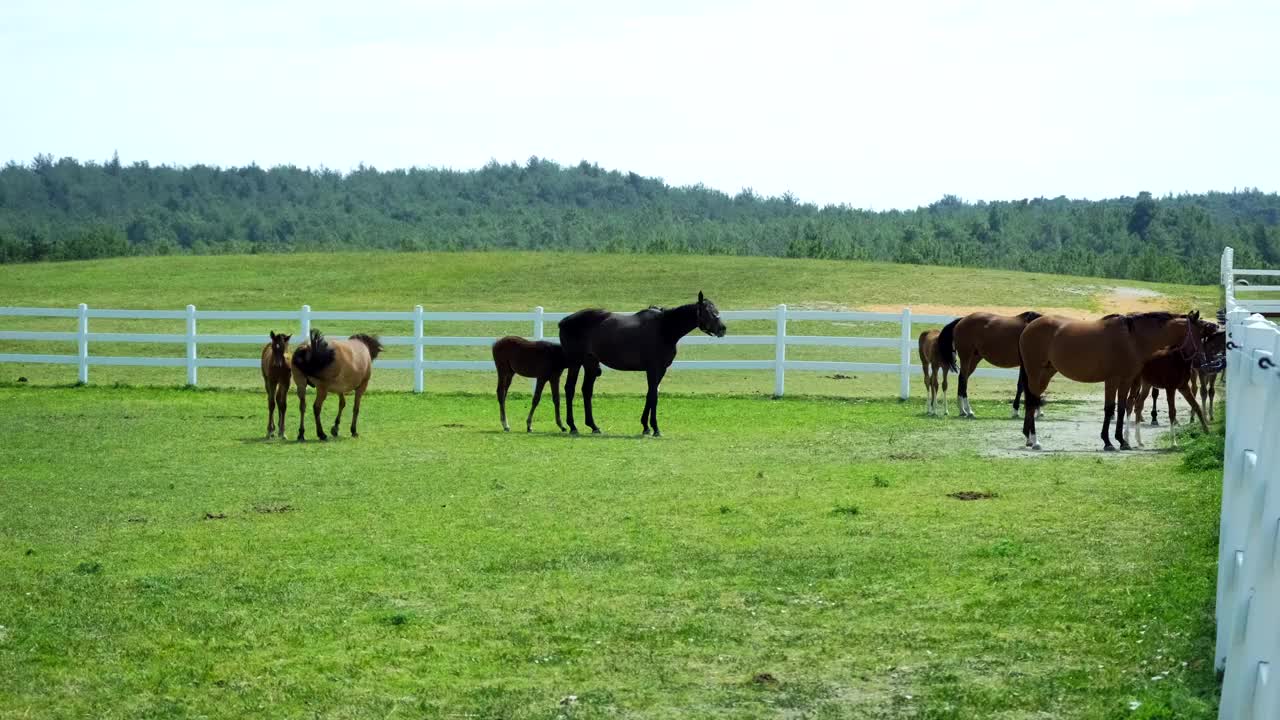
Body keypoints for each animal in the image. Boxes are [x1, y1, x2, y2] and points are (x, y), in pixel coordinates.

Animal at [558, 289, 727, 435]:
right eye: (708, 311)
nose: (722, 329)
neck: (664, 328)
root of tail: (563, 321)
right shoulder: (653, 369)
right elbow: (653, 396)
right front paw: (655, 428)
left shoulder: (660, 370)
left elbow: (650, 394)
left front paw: (646, 426)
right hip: (575, 362)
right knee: (570, 389)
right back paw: (572, 426)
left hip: (590, 364)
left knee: (586, 390)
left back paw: (593, 426)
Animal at [1013, 310, 1213, 448]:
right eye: (1197, 335)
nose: (1203, 361)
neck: (1132, 339)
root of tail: (1027, 328)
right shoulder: (1112, 380)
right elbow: (1110, 409)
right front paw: (1108, 442)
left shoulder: (1126, 380)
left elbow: (1123, 408)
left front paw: (1122, 441)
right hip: (1035, 373)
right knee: (1031, 401)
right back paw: (1035, 440)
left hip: (1045, 373)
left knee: (1032, 400)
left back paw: (1028, 438)